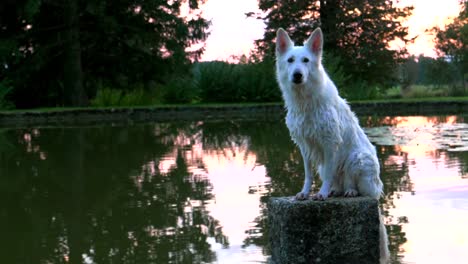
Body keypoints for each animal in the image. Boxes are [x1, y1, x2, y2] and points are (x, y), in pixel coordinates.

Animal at [276, 26, 390, 262]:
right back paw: (337, 191)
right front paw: (305, 193)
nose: (297, 75)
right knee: (339, 182)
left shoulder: (330, 143)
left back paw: (349, 192)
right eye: (290, 60)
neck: (305, 101)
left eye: (306, 60)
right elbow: (308, 175)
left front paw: (321, 194)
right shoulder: (304, 146)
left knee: (359, 188)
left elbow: (328, 174)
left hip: (359, 159)